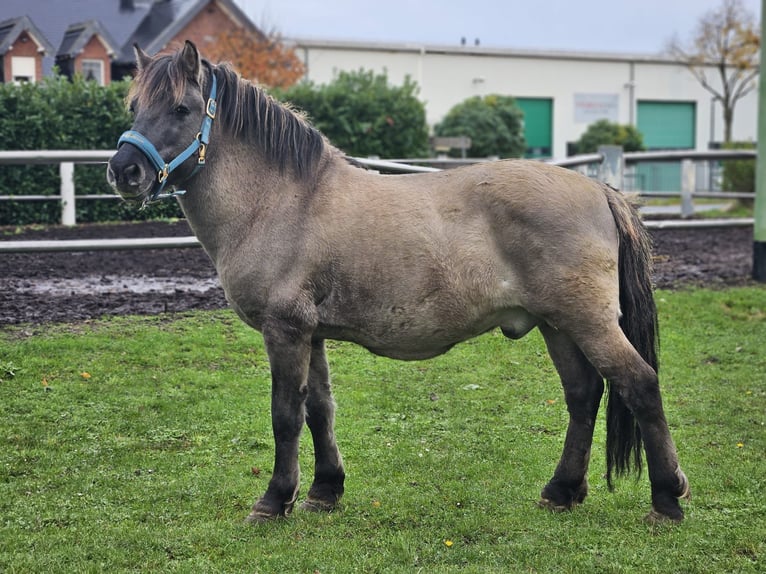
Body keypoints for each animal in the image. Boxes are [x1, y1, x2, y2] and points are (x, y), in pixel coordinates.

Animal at [107, 41, 690, 524]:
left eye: (181, 109)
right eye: (134, 107)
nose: (124, 171)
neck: (282, 201)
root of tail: (600, 190)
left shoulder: (285, 331)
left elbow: (285, 416)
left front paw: (274, 500)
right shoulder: (311, 334)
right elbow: (319, 410)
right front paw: (324, 491)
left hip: (587, 322)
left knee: (639, 384)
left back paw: (666, 499)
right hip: (557, 324)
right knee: (583, 395)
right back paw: (562, 490)